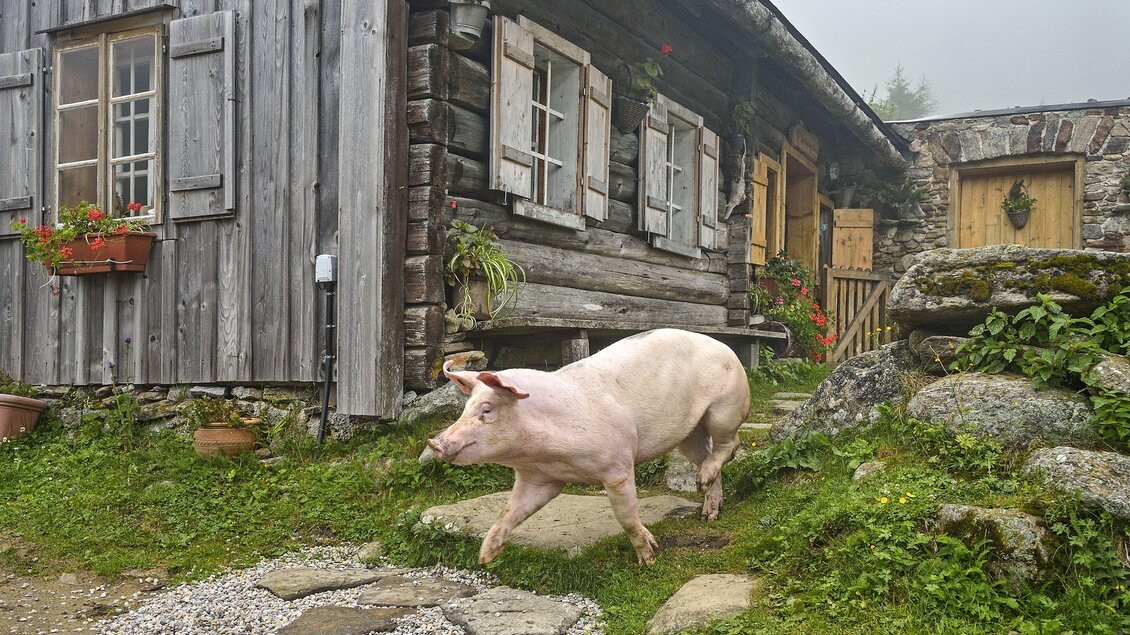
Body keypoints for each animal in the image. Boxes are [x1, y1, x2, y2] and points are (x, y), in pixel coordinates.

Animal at [427, 328, 750, 565]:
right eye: (465, 408)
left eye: (487, 410)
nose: (435, 442)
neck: (547, 455)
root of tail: (725, 348)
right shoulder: (540, 479)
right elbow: (509, 511)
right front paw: (485, 555)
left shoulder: (617, 467)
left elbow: (626, 517)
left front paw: (649, 558)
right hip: (688, 432)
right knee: (704, 456)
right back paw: (708, 507)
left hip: (726, 407)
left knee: (731, 444)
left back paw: (705, 487)